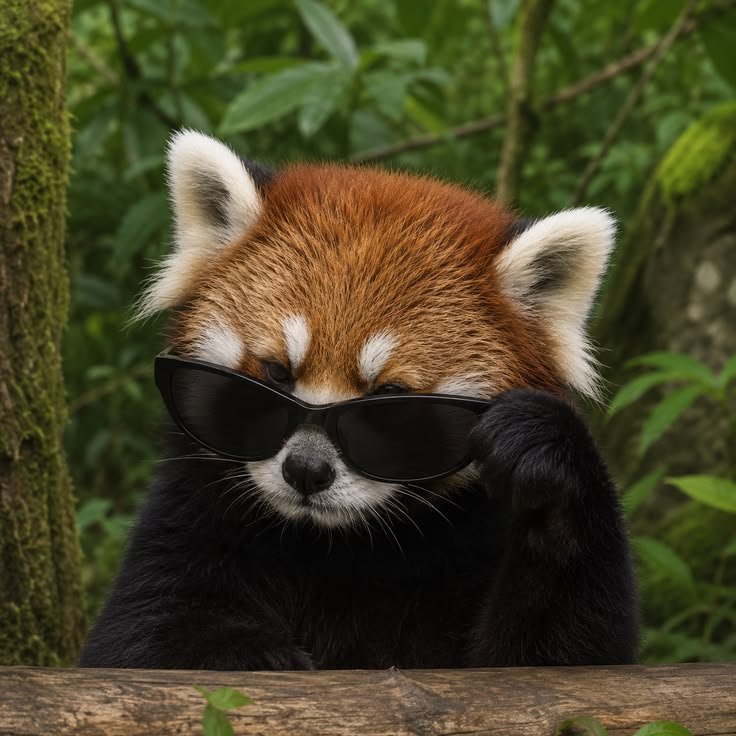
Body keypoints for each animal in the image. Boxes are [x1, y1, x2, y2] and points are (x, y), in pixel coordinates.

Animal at [80, 130, 638, 670]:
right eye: (277, 373)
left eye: (388, 399)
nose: (306, 470)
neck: (334, 546)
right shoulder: (191, 515)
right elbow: (142, 640)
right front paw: (256, 654)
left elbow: (562, 656)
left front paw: (545, 455)